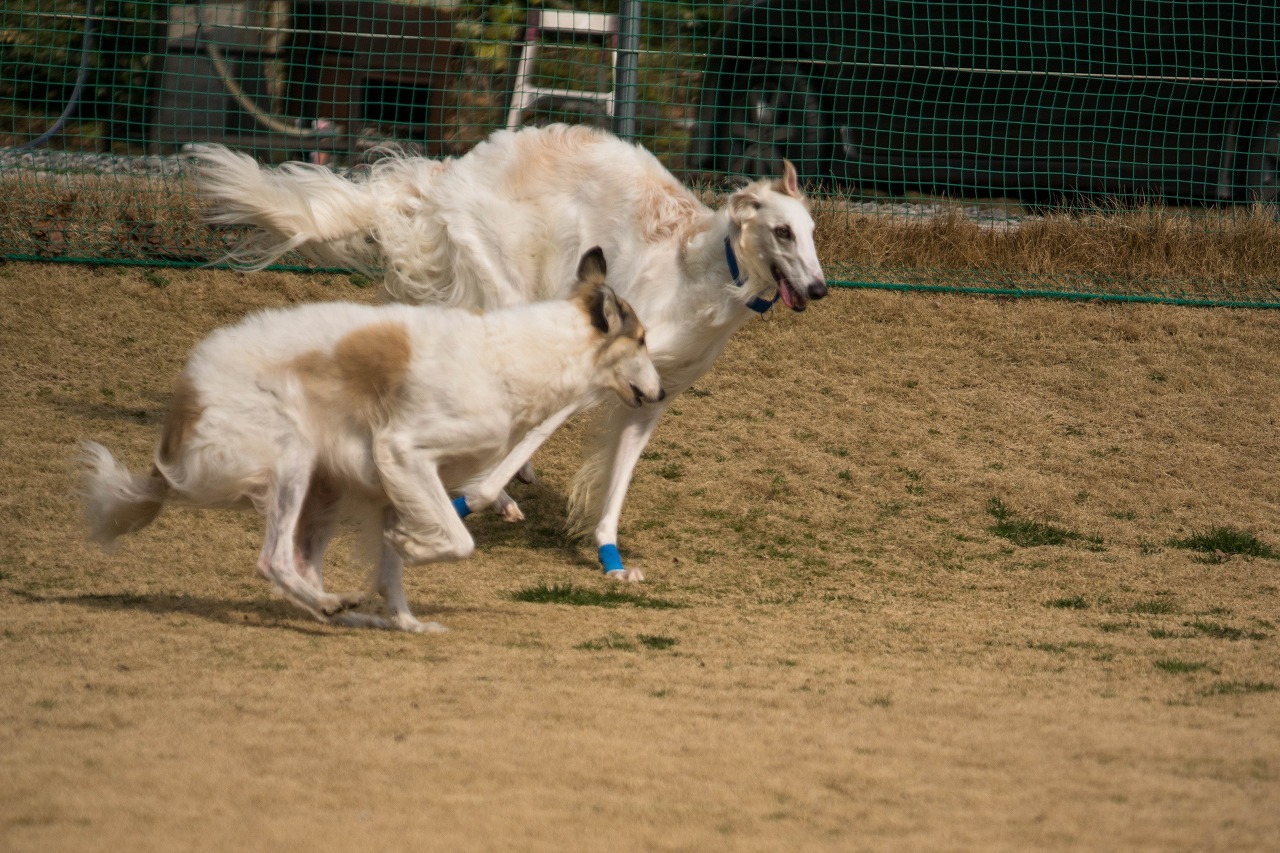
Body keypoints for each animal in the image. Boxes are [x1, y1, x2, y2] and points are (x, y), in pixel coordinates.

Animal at [81, 247, 665, 630]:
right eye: (641, 340)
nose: (660, 393)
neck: (512, 358)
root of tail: (187, 397)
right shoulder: (404, 452)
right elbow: (457, 540)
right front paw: (414, 545)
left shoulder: (392, 486)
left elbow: (393, 573)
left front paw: (408, 621)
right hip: (292, 459)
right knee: (274, 560)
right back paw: (331, 606)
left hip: (325, 488)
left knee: (302, 565)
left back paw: (342, 611)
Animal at [194, 122, 824, 581]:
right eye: (783, 232)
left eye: (813, 232)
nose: (819, 289)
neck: (700, 278)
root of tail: (452, 169)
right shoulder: (590, 374)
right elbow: (515, 454)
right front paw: (470, 502)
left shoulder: (651, 397)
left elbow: (615, 485)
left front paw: (611, 560)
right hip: (506, 287)